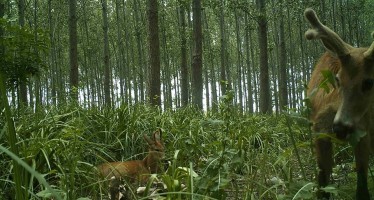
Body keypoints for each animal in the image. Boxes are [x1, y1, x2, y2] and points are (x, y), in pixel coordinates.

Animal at [306, 7, 374, 198]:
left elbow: (362, 180)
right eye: (337, 79)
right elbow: (323, 177)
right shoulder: (319, 128)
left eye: (369, 82)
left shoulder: (363, 131)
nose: (340, 127)